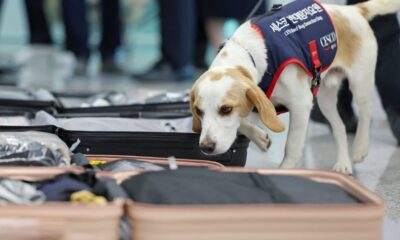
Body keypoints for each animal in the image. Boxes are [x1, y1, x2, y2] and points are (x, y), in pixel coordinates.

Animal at [190, 0, 400, 173]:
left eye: (226, 109)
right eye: (199, 112)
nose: (206, 147)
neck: (248, 52)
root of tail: (352, 10)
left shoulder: (301, 104)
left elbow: (291, 145)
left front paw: (285, 170)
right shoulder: (260, 103)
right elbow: (243, 122)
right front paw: (260, 137)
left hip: (360, 83)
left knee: (366, 112)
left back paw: (360, 148)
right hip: (324, 99)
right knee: (340, 127)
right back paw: (343, 164)